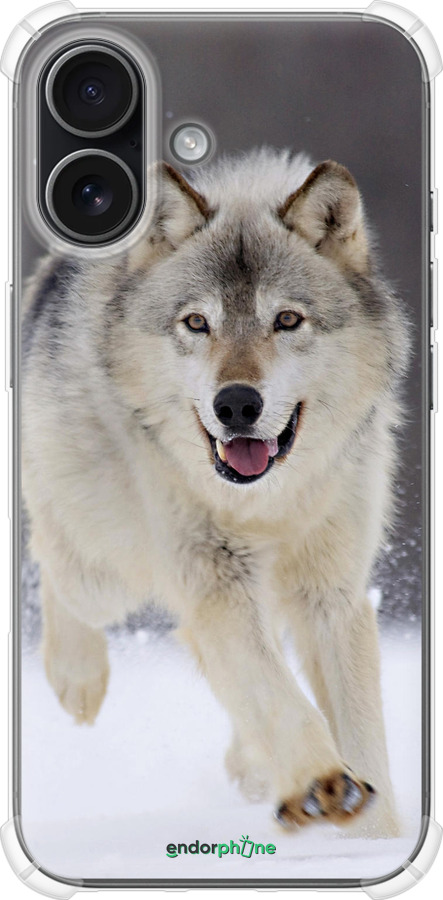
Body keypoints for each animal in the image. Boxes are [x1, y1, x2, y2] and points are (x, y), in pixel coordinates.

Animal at [22, 149, 408, 836]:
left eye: (287, 320)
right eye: (197, 323)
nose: (236, 405)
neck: (267, 503)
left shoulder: (331, 594)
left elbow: (360, 733)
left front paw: (376, 837)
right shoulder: (214, 581)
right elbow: (278, 696)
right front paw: (322, 783)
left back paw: (252, 766)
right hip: (107, 571)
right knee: (52, 560)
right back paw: (77, 680)